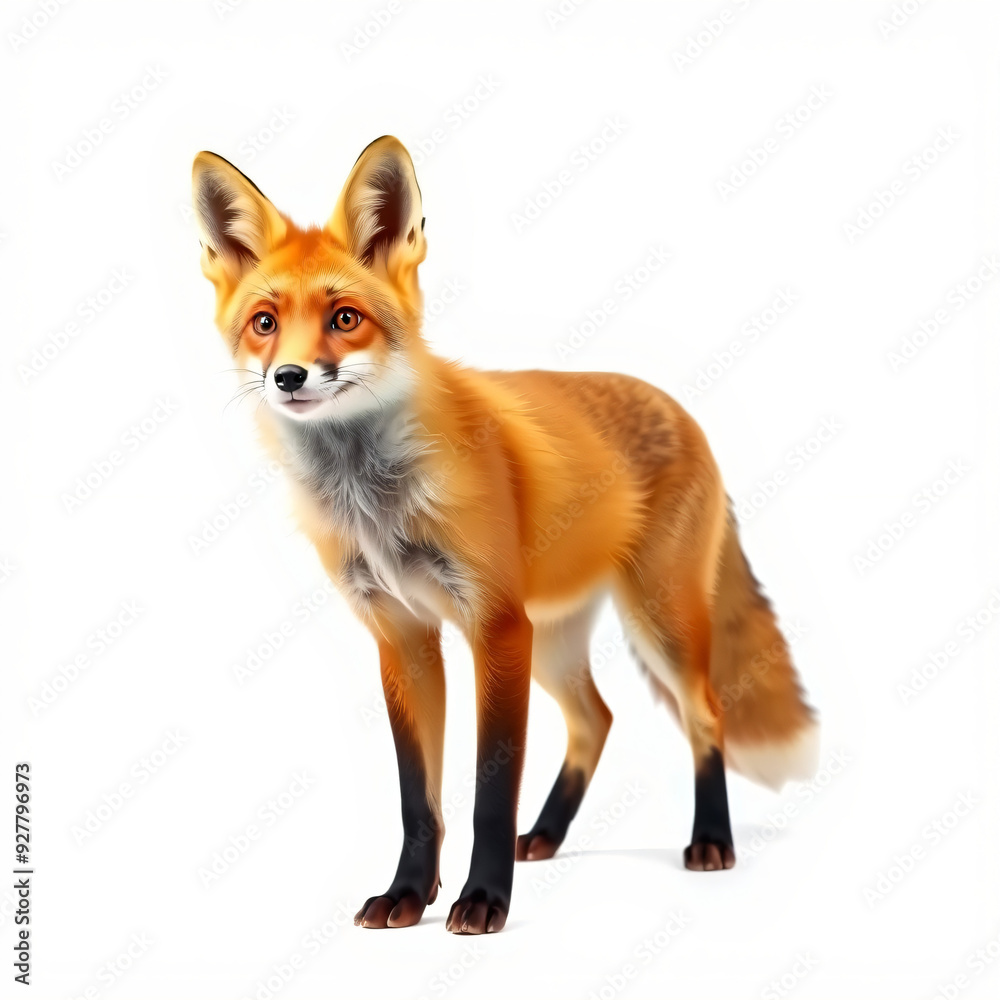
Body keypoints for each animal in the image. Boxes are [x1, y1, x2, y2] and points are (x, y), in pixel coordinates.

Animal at [191, 136, 818, 935]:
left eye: (345, 318)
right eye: (264, 323)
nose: (291, 378)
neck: (375, 500)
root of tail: (678, 408)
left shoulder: (493, 626)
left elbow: (490, 794)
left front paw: (482, 899)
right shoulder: (403, 636)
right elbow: (418, 799)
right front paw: (408, 894)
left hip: (657, 623)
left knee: (704, 716)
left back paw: (710, 840)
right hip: (551, 639)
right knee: (596, 718)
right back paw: (547, 834)